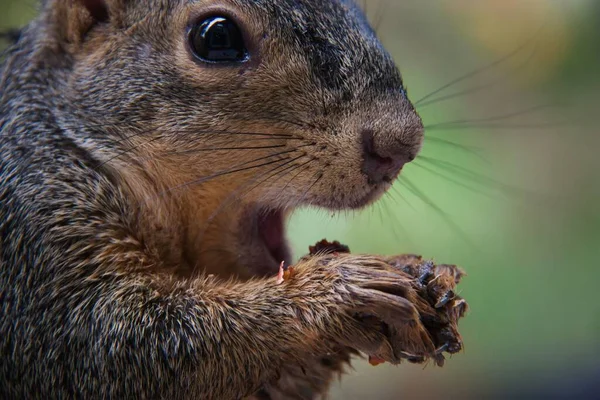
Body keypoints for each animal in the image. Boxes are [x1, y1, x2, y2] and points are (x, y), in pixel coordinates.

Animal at [0, 0, 466, 400]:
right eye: (217, 37)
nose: (402, 143)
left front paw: (421, 273)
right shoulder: (37, 242)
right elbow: (112, 345)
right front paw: (341, 291)